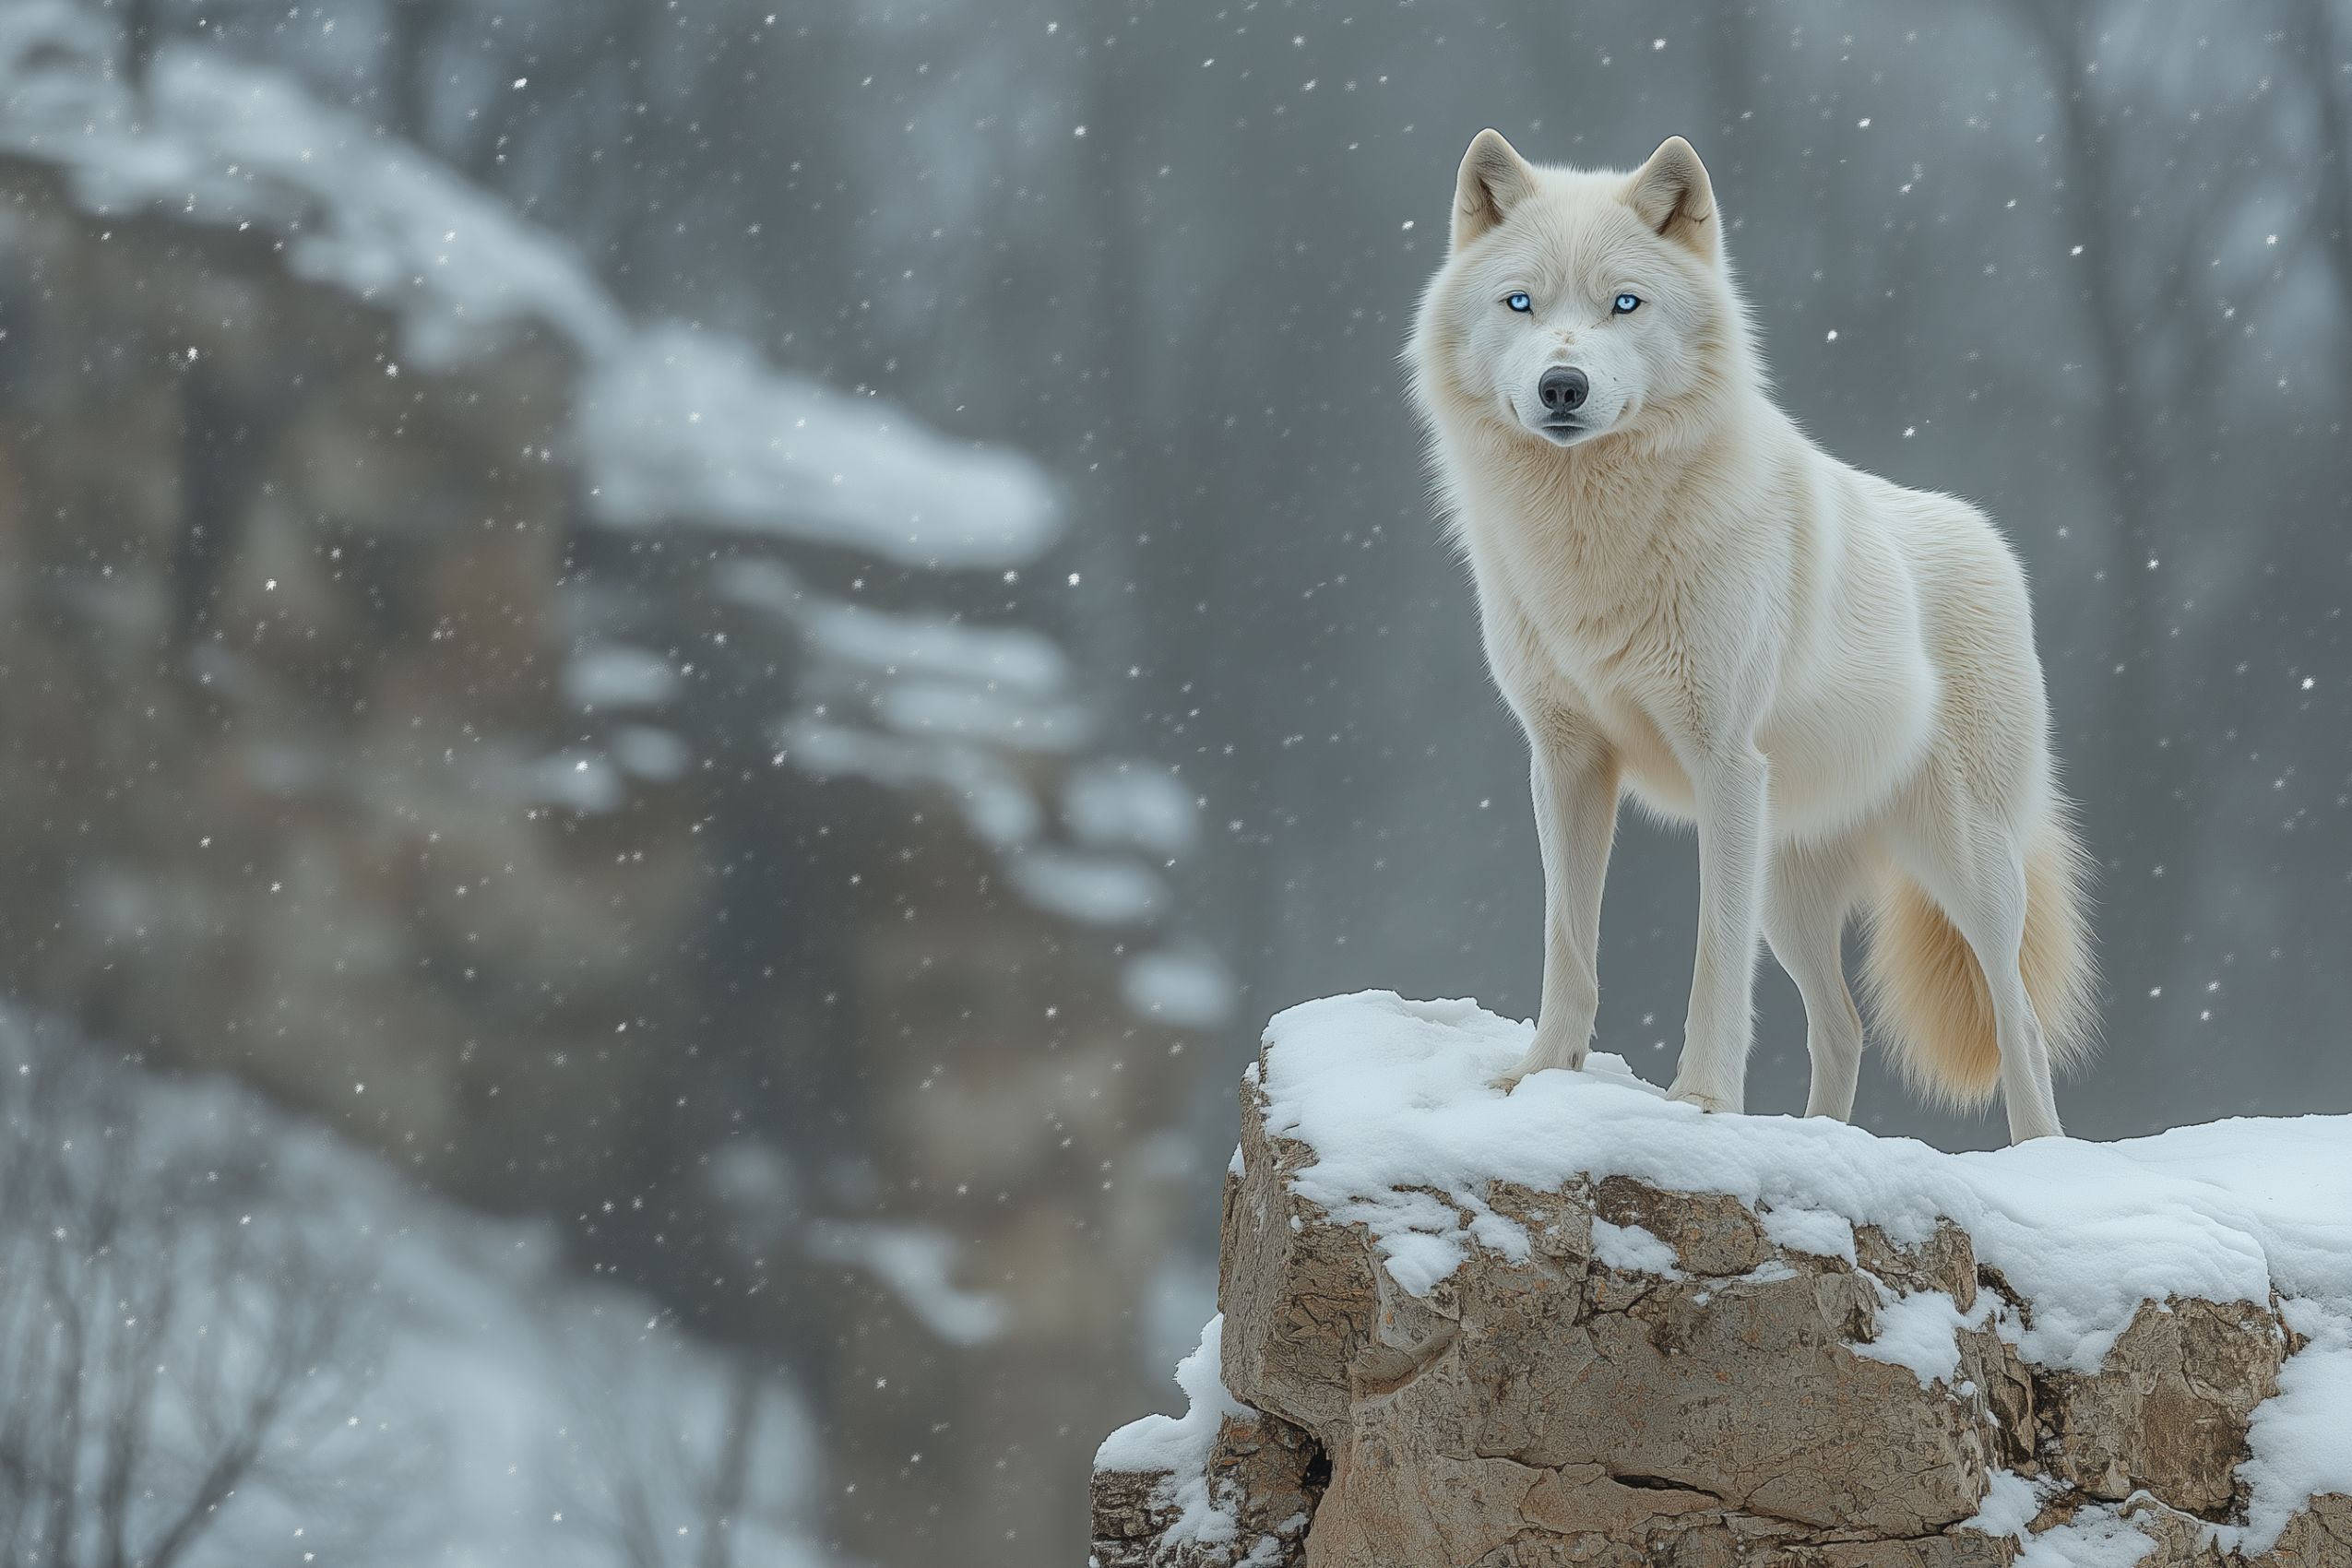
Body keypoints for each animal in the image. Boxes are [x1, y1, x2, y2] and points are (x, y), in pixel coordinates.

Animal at [1407, 131, 2096, 1142]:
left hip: (1965, 866)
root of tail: (1988, 538)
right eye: (1520, 302)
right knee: (1843, 1025)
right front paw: (1540, 1076)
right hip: (1793, 887)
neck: (1592, 546)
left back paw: (2038, 1155)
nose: (1562, 385)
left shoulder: (1725, 766)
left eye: (1625, 303)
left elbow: (1713, 960)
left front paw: (1700, 1103)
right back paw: (1819, 1138)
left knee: (2021, 1023)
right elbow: (1568, 939)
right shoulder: (1565, 762)